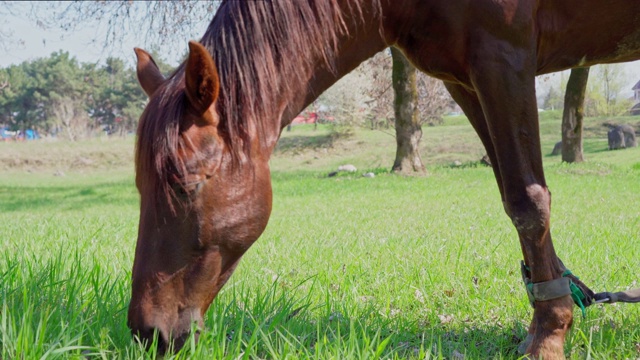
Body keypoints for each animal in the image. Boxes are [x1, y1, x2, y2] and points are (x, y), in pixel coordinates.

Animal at [126, 0, 640, 358]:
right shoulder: (467, 78)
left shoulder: (504, 57)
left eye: (188, 183)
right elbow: (512, 192)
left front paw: (548, 337)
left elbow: (527, 201)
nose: (148, 333)